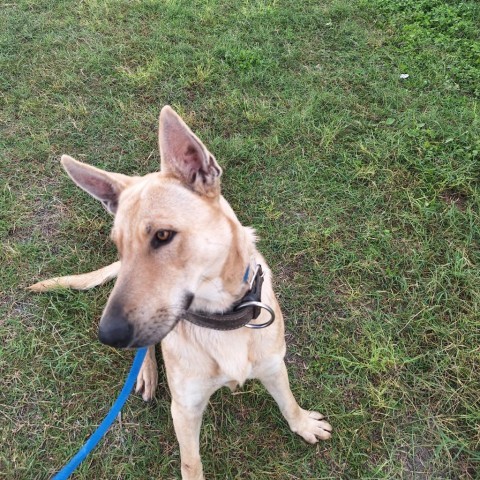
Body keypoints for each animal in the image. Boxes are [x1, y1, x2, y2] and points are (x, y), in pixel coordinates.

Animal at [29, 106, 330, 480]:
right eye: (120, 246)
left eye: (162, 235)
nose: (108, 335)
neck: (222, 319)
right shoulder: (185, 409)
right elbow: (191, 463)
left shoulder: (274, 366)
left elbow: (288, 401)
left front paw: (303, 424)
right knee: (145, 351)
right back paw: (146, 372)